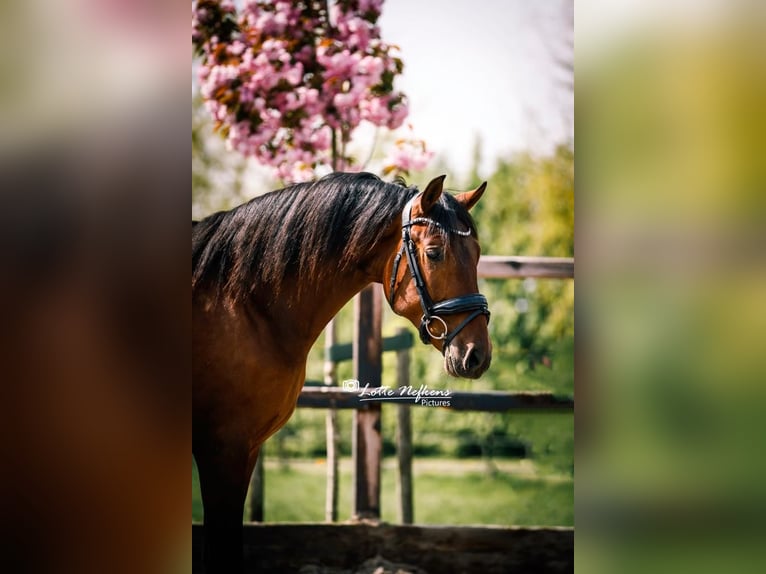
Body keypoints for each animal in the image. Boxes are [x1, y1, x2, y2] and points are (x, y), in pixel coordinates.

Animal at [192, 173, 492, 572]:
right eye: (433, 253)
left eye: (476, 254)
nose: (477, 355)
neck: (240, 305)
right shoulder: (224, 448)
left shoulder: (245, 450)